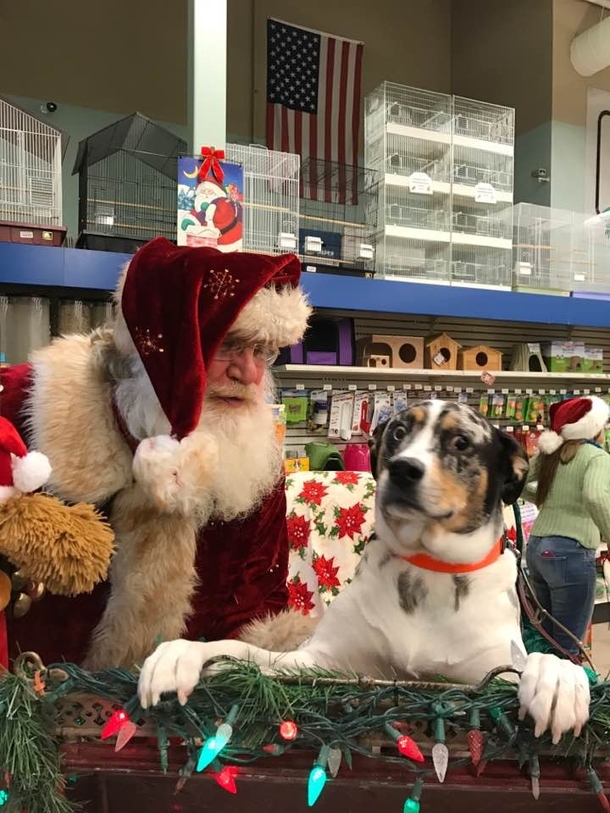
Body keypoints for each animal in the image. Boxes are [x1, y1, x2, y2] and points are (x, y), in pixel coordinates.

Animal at [139, 400, 588, 744]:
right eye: (398, 432)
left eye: (461, 441)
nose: (404, 468)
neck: (425, 567)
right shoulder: (317, 662)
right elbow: (240, 650)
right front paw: (182, 654)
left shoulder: (491, 671)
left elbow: (537, 662)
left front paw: (558, 679)